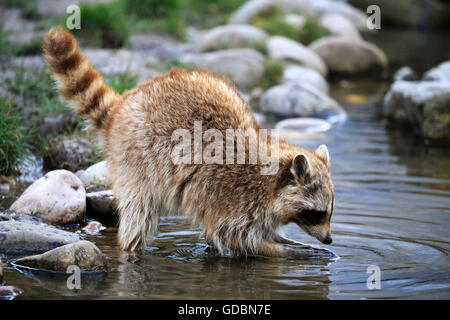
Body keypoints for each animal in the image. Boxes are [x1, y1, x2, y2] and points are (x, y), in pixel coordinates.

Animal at [44, 26, 336, 258]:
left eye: (329, 212)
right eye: (317, 213)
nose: (329, 238)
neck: (272, 181)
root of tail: (123, 105)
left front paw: (294, 243)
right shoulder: (238, 200)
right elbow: (232, 239)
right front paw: (287, 251)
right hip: (137, 159)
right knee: (139, 214)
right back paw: (130, 250)